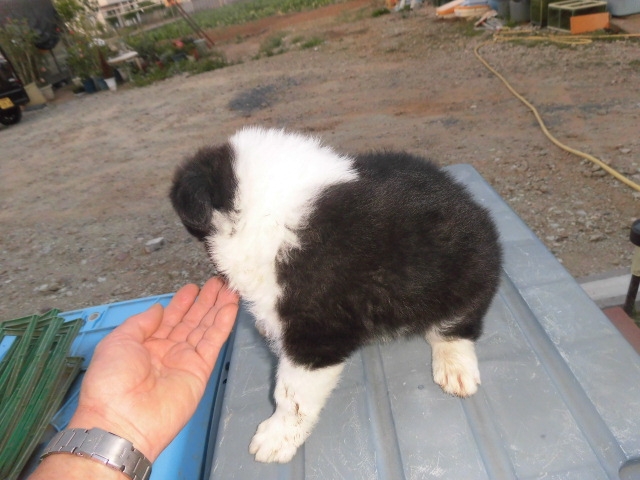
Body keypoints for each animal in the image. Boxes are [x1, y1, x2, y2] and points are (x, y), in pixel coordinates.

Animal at [170, 126, 502, 463]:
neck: (266, 213)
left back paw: (455, 367)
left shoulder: (316, 333)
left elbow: (291, 393)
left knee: (455, 326)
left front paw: (275, 437)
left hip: (462, 279)